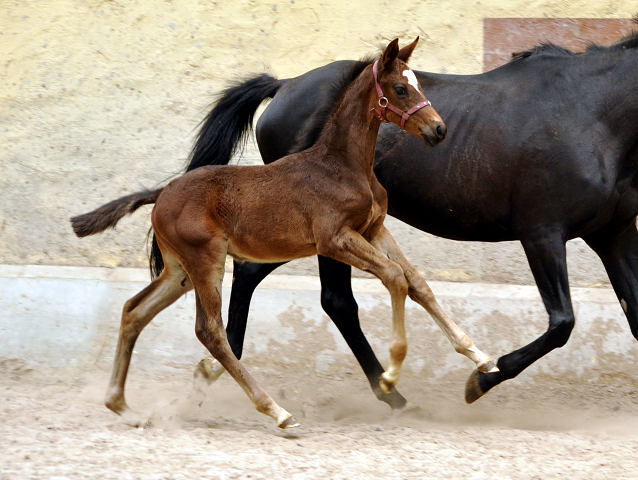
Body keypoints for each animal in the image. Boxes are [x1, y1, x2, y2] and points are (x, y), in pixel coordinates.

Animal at [71, 38, 500, 428]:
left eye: (419, 84)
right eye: (400, 88)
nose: (439, 129)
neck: (343, 164)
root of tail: (162, 192)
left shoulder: (375, 230)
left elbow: (418, 283)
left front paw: (482, 358)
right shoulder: (334, 239)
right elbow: (396, 278)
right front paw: (391, 375)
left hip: (179, 271)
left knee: (134, 311)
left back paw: (122, 406)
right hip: (205, 261)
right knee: (210, 332)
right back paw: (277, 412)